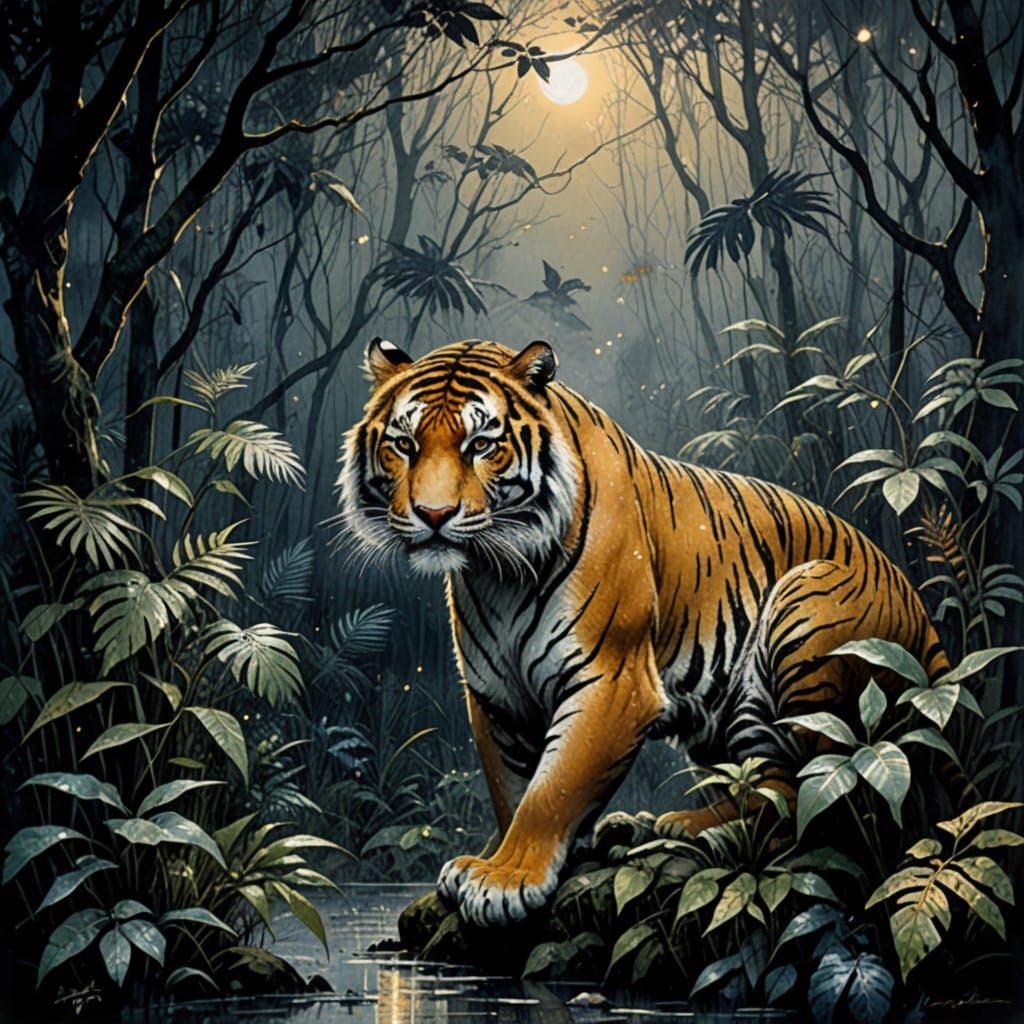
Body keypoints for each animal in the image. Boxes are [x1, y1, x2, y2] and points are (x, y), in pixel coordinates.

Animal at [338, 337, 949, 928]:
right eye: (405, 444)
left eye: (482, 445)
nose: (433, 515)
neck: (499, 572)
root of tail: (919, 610)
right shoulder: (498, 697)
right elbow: (510, 787)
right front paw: (490, 861)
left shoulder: (613, 682)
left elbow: (551, 789)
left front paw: (506, 879)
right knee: (767, 780)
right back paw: (651, 826)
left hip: (808, 611)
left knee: (815, 797)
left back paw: (690, 827)